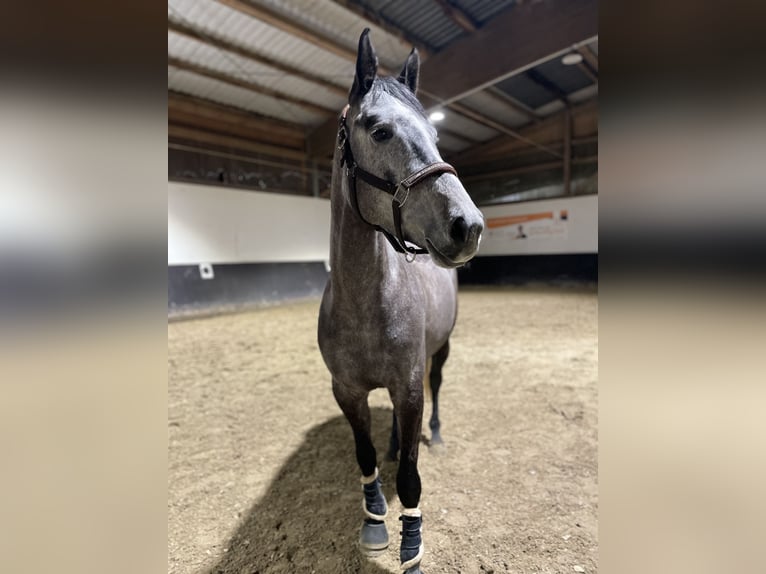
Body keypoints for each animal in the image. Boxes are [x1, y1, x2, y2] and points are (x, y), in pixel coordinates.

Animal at [316, 29, 484, 572]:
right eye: (380, 130)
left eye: (435, 136)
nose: (468, 226)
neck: (365, 304)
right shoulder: (347, 391)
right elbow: (365, 457)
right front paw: (374, 519)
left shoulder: (409, 388)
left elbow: (411, 476)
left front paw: (412, 546)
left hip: (439, 354)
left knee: (437, 390)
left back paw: (436, 434)